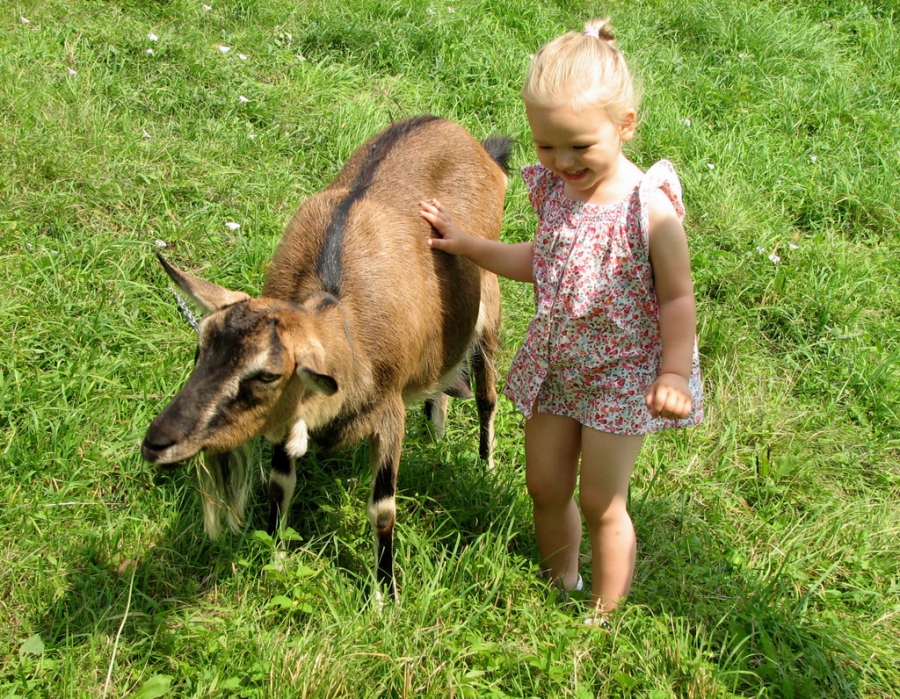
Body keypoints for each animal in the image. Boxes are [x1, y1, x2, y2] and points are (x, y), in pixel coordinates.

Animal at [140, 117, 506, 600]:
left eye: (267, 374)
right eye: (200, 346)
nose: (156, 442)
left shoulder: (388, 410)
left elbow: (383, 508)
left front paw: (384, 594)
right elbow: (280, 484)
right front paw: (276, 556)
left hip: (490, 305)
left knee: (487, 394)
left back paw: (486, 466)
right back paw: (437, 430)